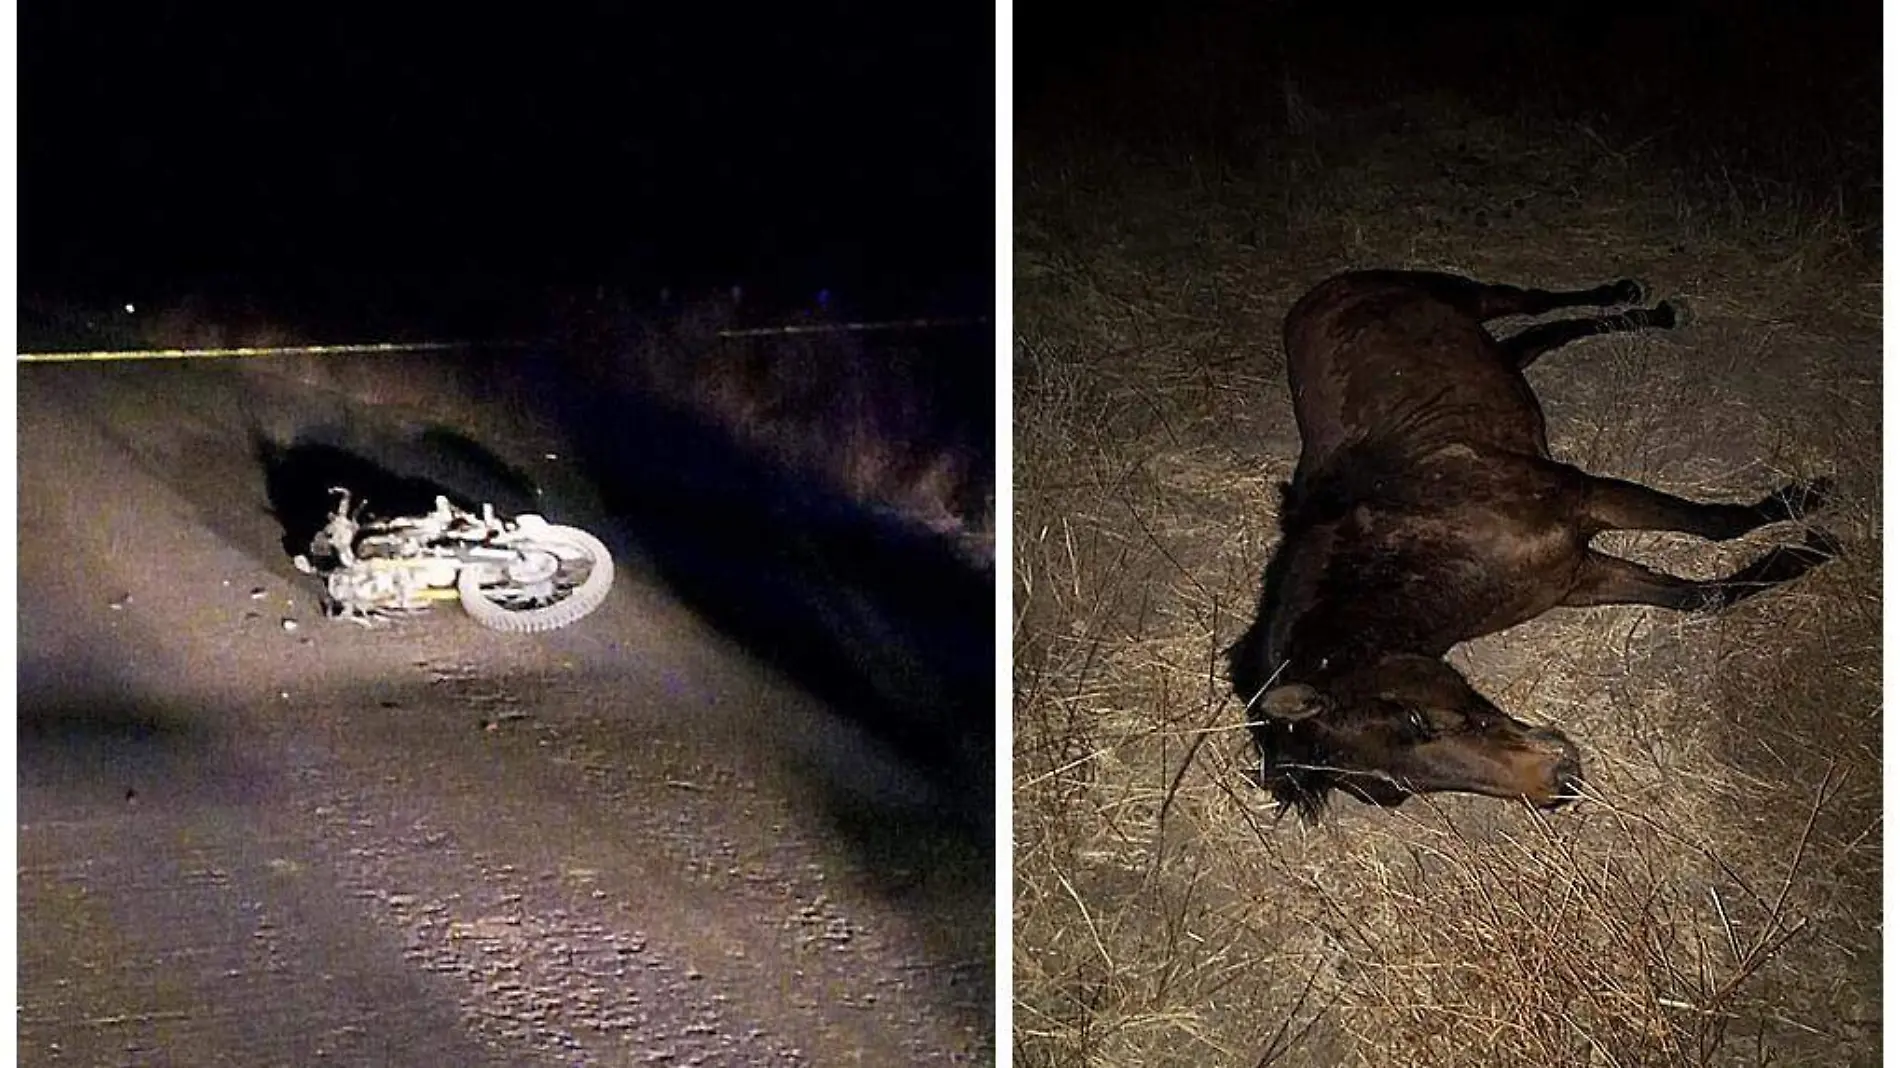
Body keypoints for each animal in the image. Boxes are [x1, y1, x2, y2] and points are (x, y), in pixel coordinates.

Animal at [1223, 269, 1831, 817]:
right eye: (1396, 793)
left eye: (1414, 721)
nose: (1558, 784)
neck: (1424, 550)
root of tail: (1316, 294)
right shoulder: (1575, 577)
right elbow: (1700, 597)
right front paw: (1803, 552)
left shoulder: (1584, 498)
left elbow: (1714, 525)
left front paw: (1805, 506)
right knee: (1535, 338)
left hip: (1464, 292)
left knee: (1532, 301)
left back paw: (1634, 299)